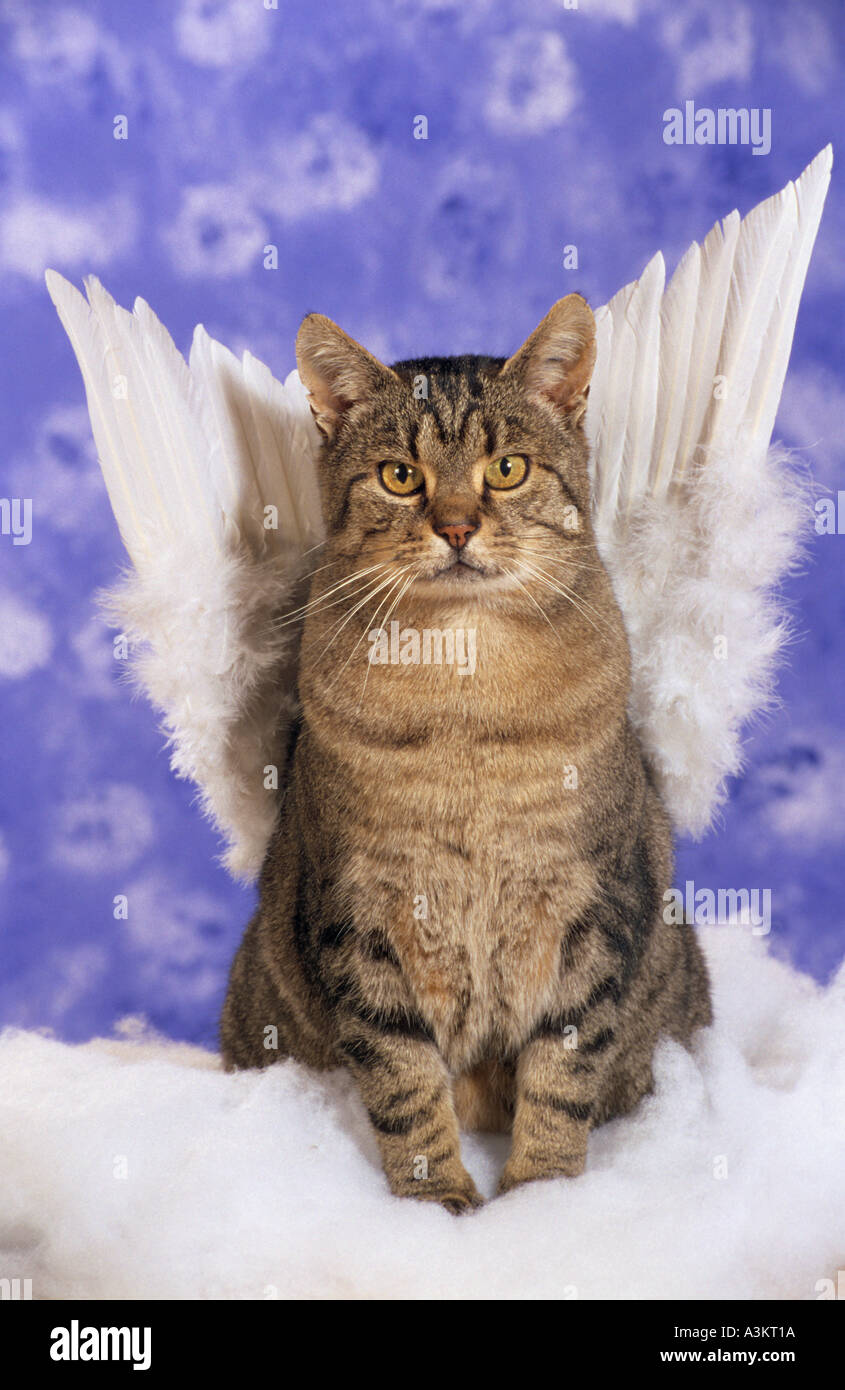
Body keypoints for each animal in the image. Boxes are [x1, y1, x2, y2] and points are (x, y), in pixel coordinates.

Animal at [220, 298, 708, 1212]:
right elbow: (403, 1084)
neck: (462, 695)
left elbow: (562, 1074)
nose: (454, 527)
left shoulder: (594, 907)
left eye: (507, 469)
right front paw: (435, 1201)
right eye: (398, 475)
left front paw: (541, 1195)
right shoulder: (358, 915)